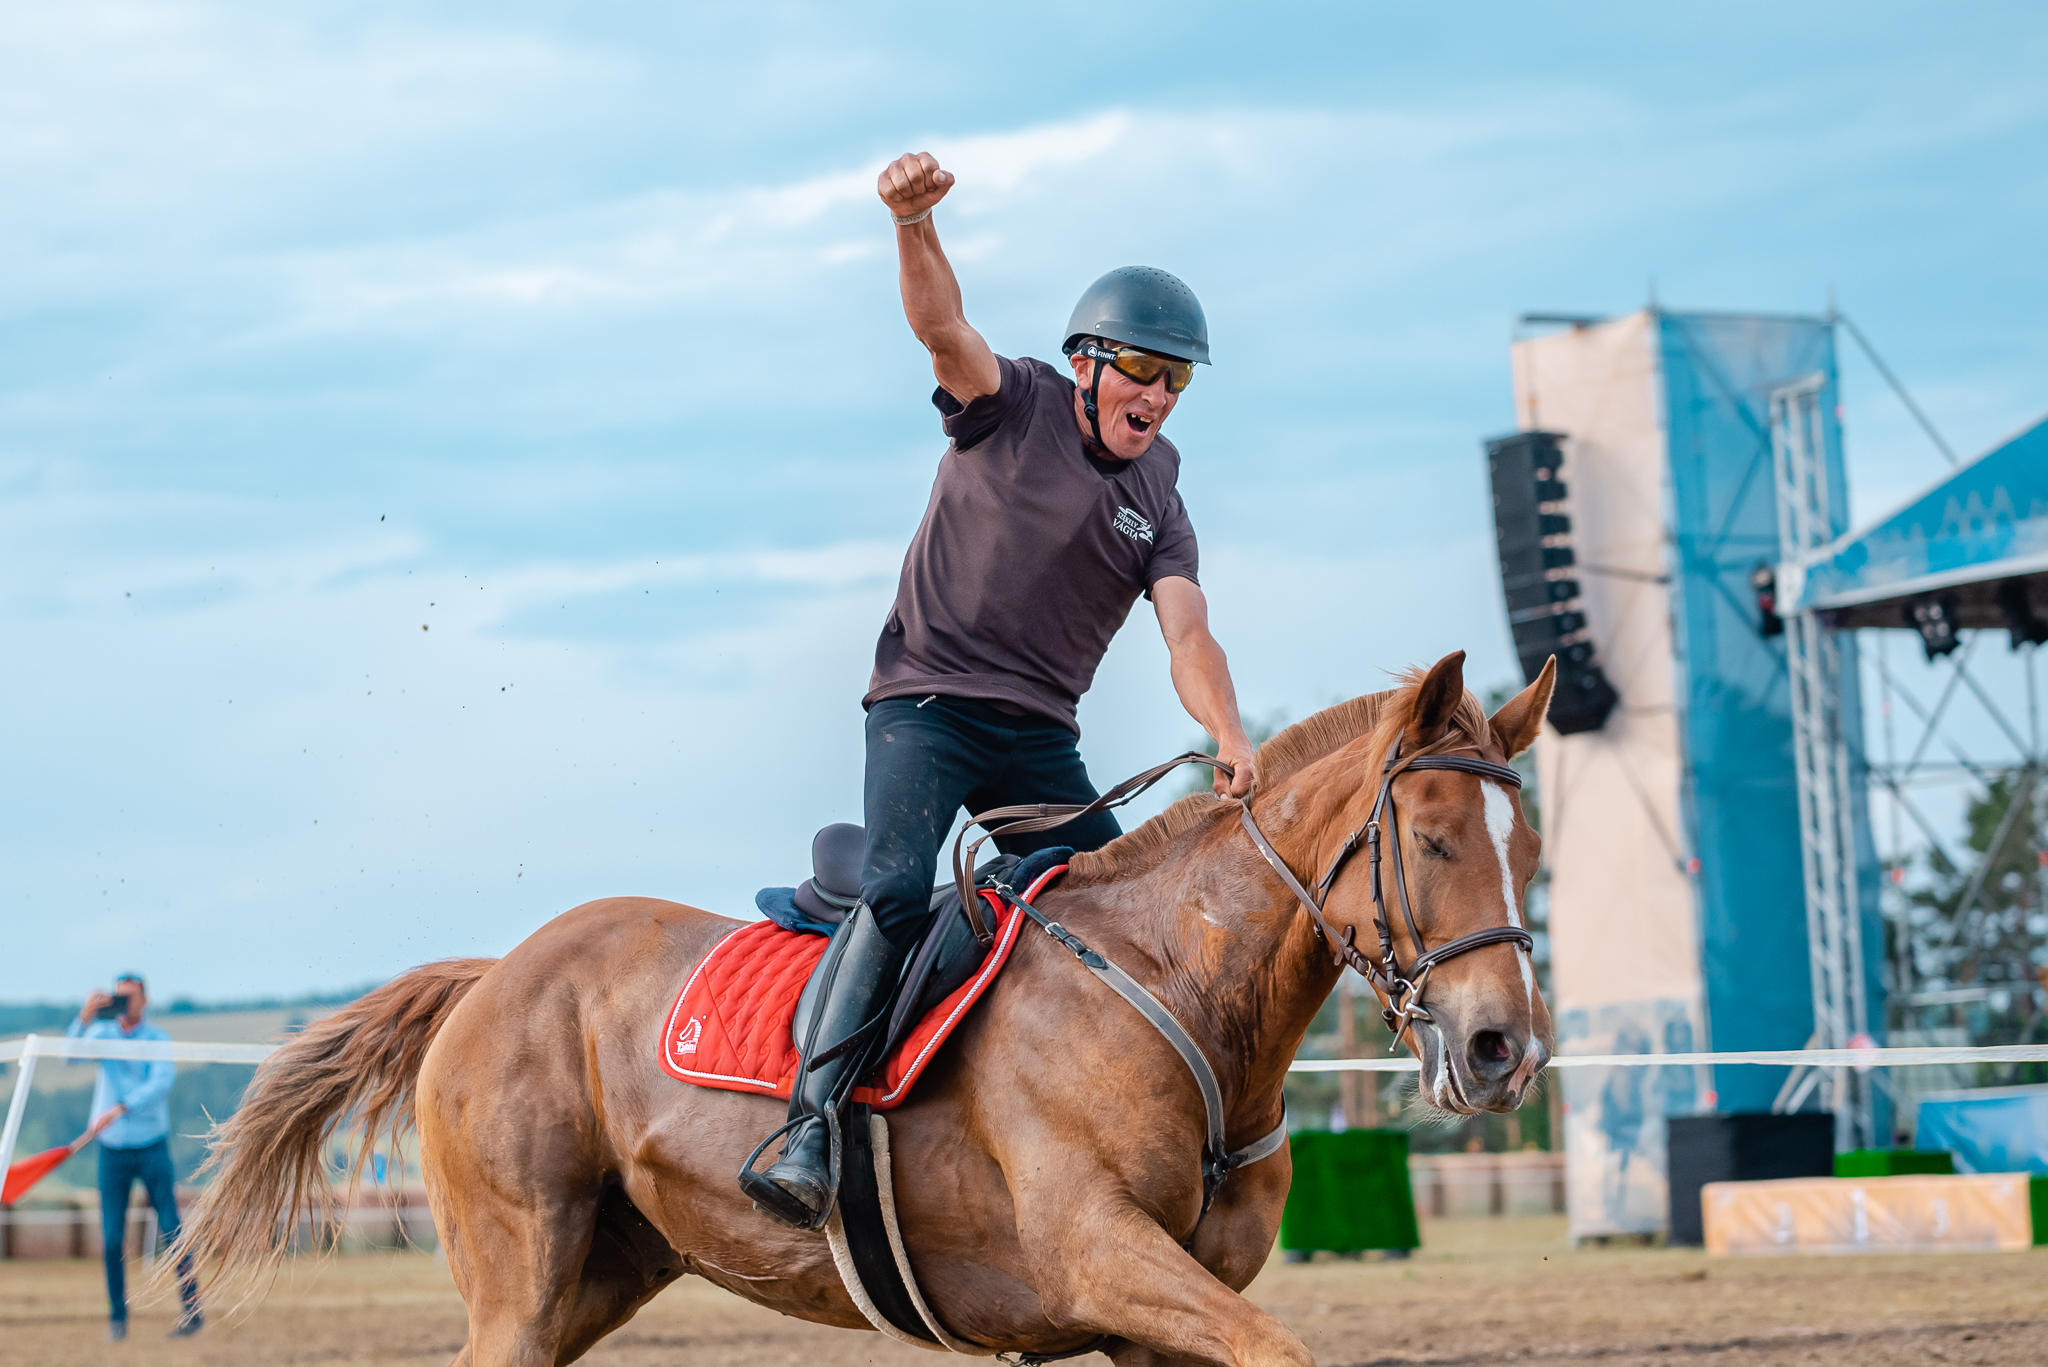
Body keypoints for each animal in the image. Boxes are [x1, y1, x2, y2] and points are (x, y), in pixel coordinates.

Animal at [180, 651, 1548, 1367]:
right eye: (1432, 839)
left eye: (1528, 847)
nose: (1500, 1048)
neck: (1178, 990)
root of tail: (495, 973)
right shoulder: (1101, 1257)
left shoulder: (1151, 1315)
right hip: (521, 1277)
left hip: (600, 1275)